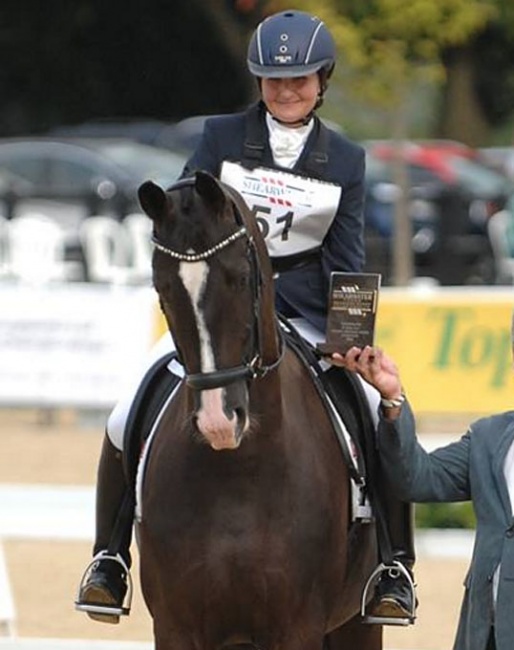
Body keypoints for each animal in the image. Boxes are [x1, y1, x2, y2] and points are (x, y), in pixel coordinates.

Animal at [136, 171, 380, 648]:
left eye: (239, 276)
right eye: (163, 288)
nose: (218, 422)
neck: (240, 471)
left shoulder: (298, 627)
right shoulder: (175, 628)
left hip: (357, 623)